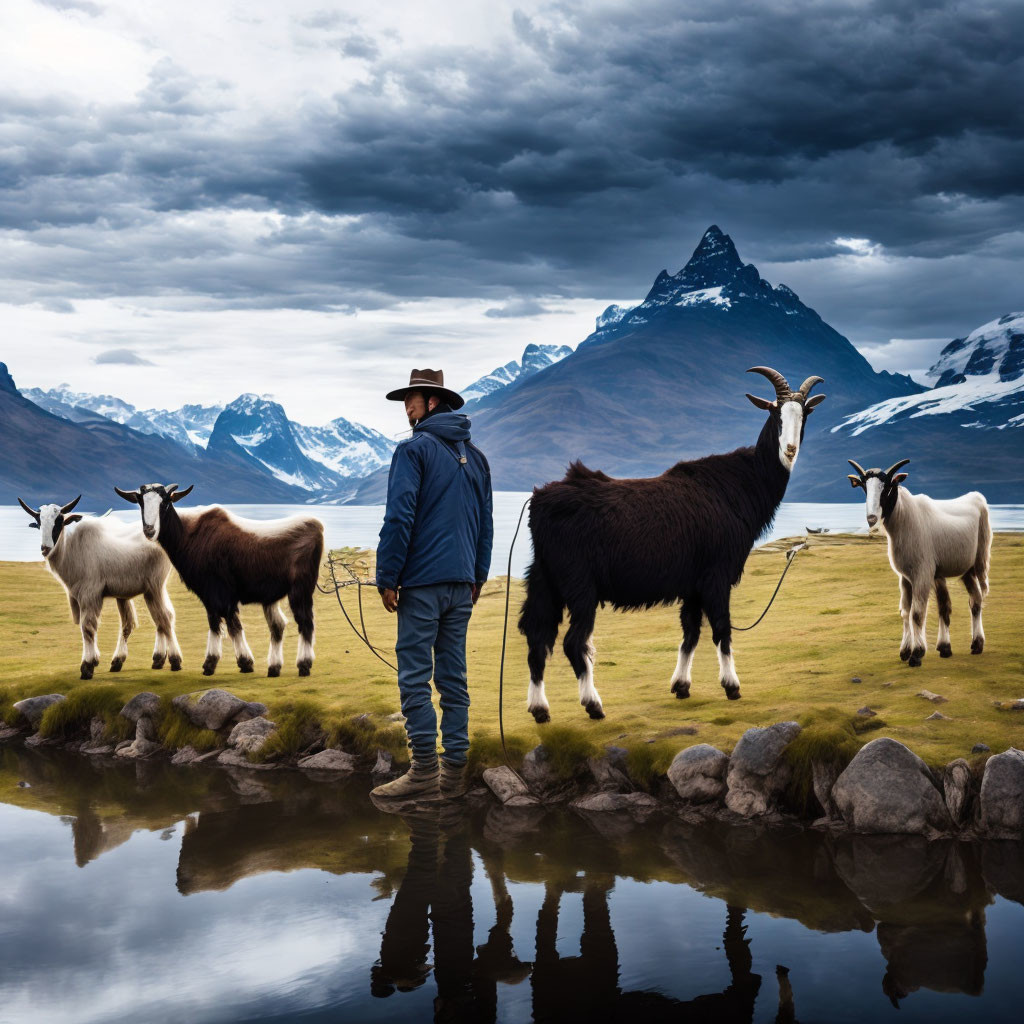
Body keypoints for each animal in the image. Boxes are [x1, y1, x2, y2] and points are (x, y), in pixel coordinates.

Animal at [18, 495, 182, 679]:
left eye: (59, 521)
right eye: (38, 521)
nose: (45, 548)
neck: (72, 549)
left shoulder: (90, 594)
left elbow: (87, 627)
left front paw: (88, 666)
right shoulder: (79, 596)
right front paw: (93, 661)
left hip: (154, 586)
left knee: (164, 618)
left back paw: (175, 660)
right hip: (148, 591)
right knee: (156, 618)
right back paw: (151, 659)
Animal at [520, 368, 823, 720]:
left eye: (804, 416)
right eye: (775, 414)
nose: (789, 450)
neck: (739, 486)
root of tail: (541, 500)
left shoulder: (693, 584)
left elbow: (690, 631)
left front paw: (681, 686)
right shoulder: (716, 575)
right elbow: (721, 628)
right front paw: (732, 686)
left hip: (544, 578)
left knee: (537, 638)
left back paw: (540, 709)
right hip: (579, 585)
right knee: (573, 642)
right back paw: (593, 704)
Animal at [847, 460, 991, 667]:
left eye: (887, 487)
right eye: (865, 487)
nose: (871, 518)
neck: (905, 518)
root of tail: (977, 498)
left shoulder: (922, 573)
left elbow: (916, 613)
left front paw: (917, 654)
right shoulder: (905, 577)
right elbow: (905, 612)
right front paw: (905, 650)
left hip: (978, 560)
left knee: (976, 601)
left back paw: (977, 644)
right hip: (963, 570)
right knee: (961, 602)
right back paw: (948, 647)